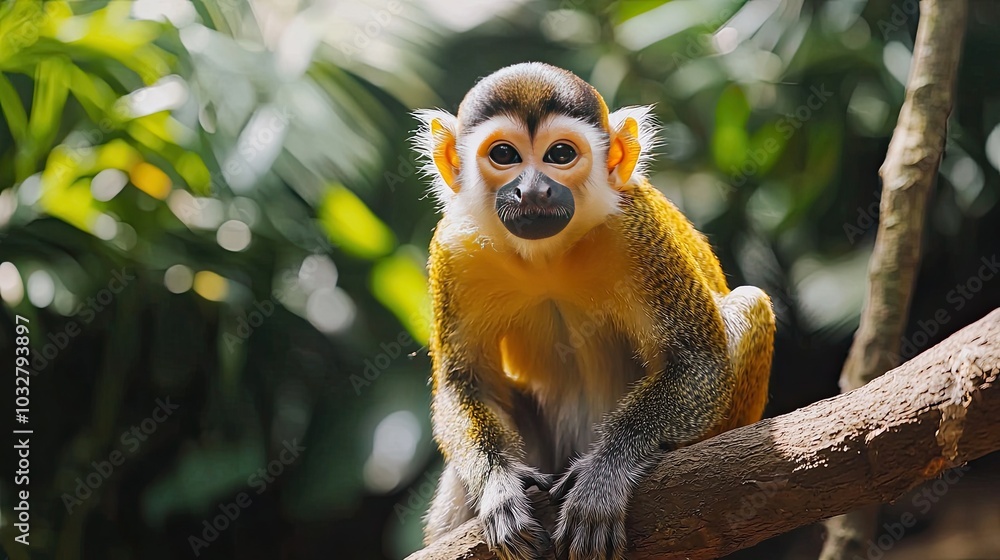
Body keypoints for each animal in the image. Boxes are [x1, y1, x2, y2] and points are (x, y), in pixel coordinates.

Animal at [413, 62, 775, 560]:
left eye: (561, 154)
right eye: (504, 155)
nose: (532, 190)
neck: (546, 257)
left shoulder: (635, 228)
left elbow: (698, 362)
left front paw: (605, 471)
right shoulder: (455, 245)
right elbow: (465, 382)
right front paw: (498, 485)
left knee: (751, 303)